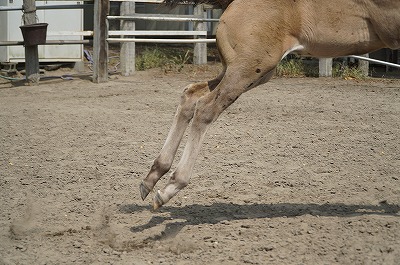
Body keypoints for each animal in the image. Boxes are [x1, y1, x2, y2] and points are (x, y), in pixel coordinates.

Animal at [140, 0, 400, 208]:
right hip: (250, 67)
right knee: (205, 108)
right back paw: (169, 188)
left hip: (248, 70)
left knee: (191, 95)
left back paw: (151, 177)